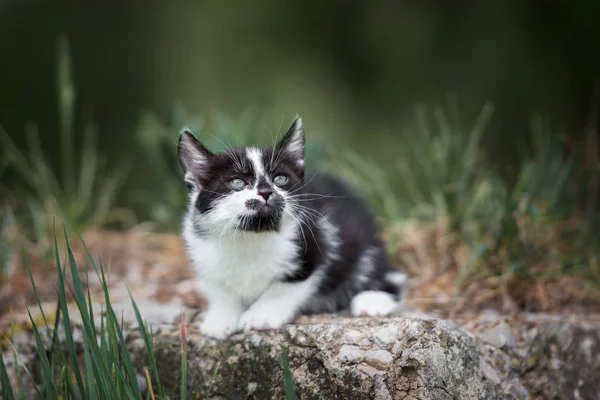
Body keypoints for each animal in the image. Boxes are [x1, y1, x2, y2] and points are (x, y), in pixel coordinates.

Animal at [177, 117, 408, 340]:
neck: (251, 236)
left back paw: (373, 300)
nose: (266, 191)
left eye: (280, 178)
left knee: (386, 274)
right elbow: (221, 290)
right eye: (237, 182)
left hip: (364, 243)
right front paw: (220, 318)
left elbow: (284, 287)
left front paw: (260, 315)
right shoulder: (200, 247)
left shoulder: (316, 241)